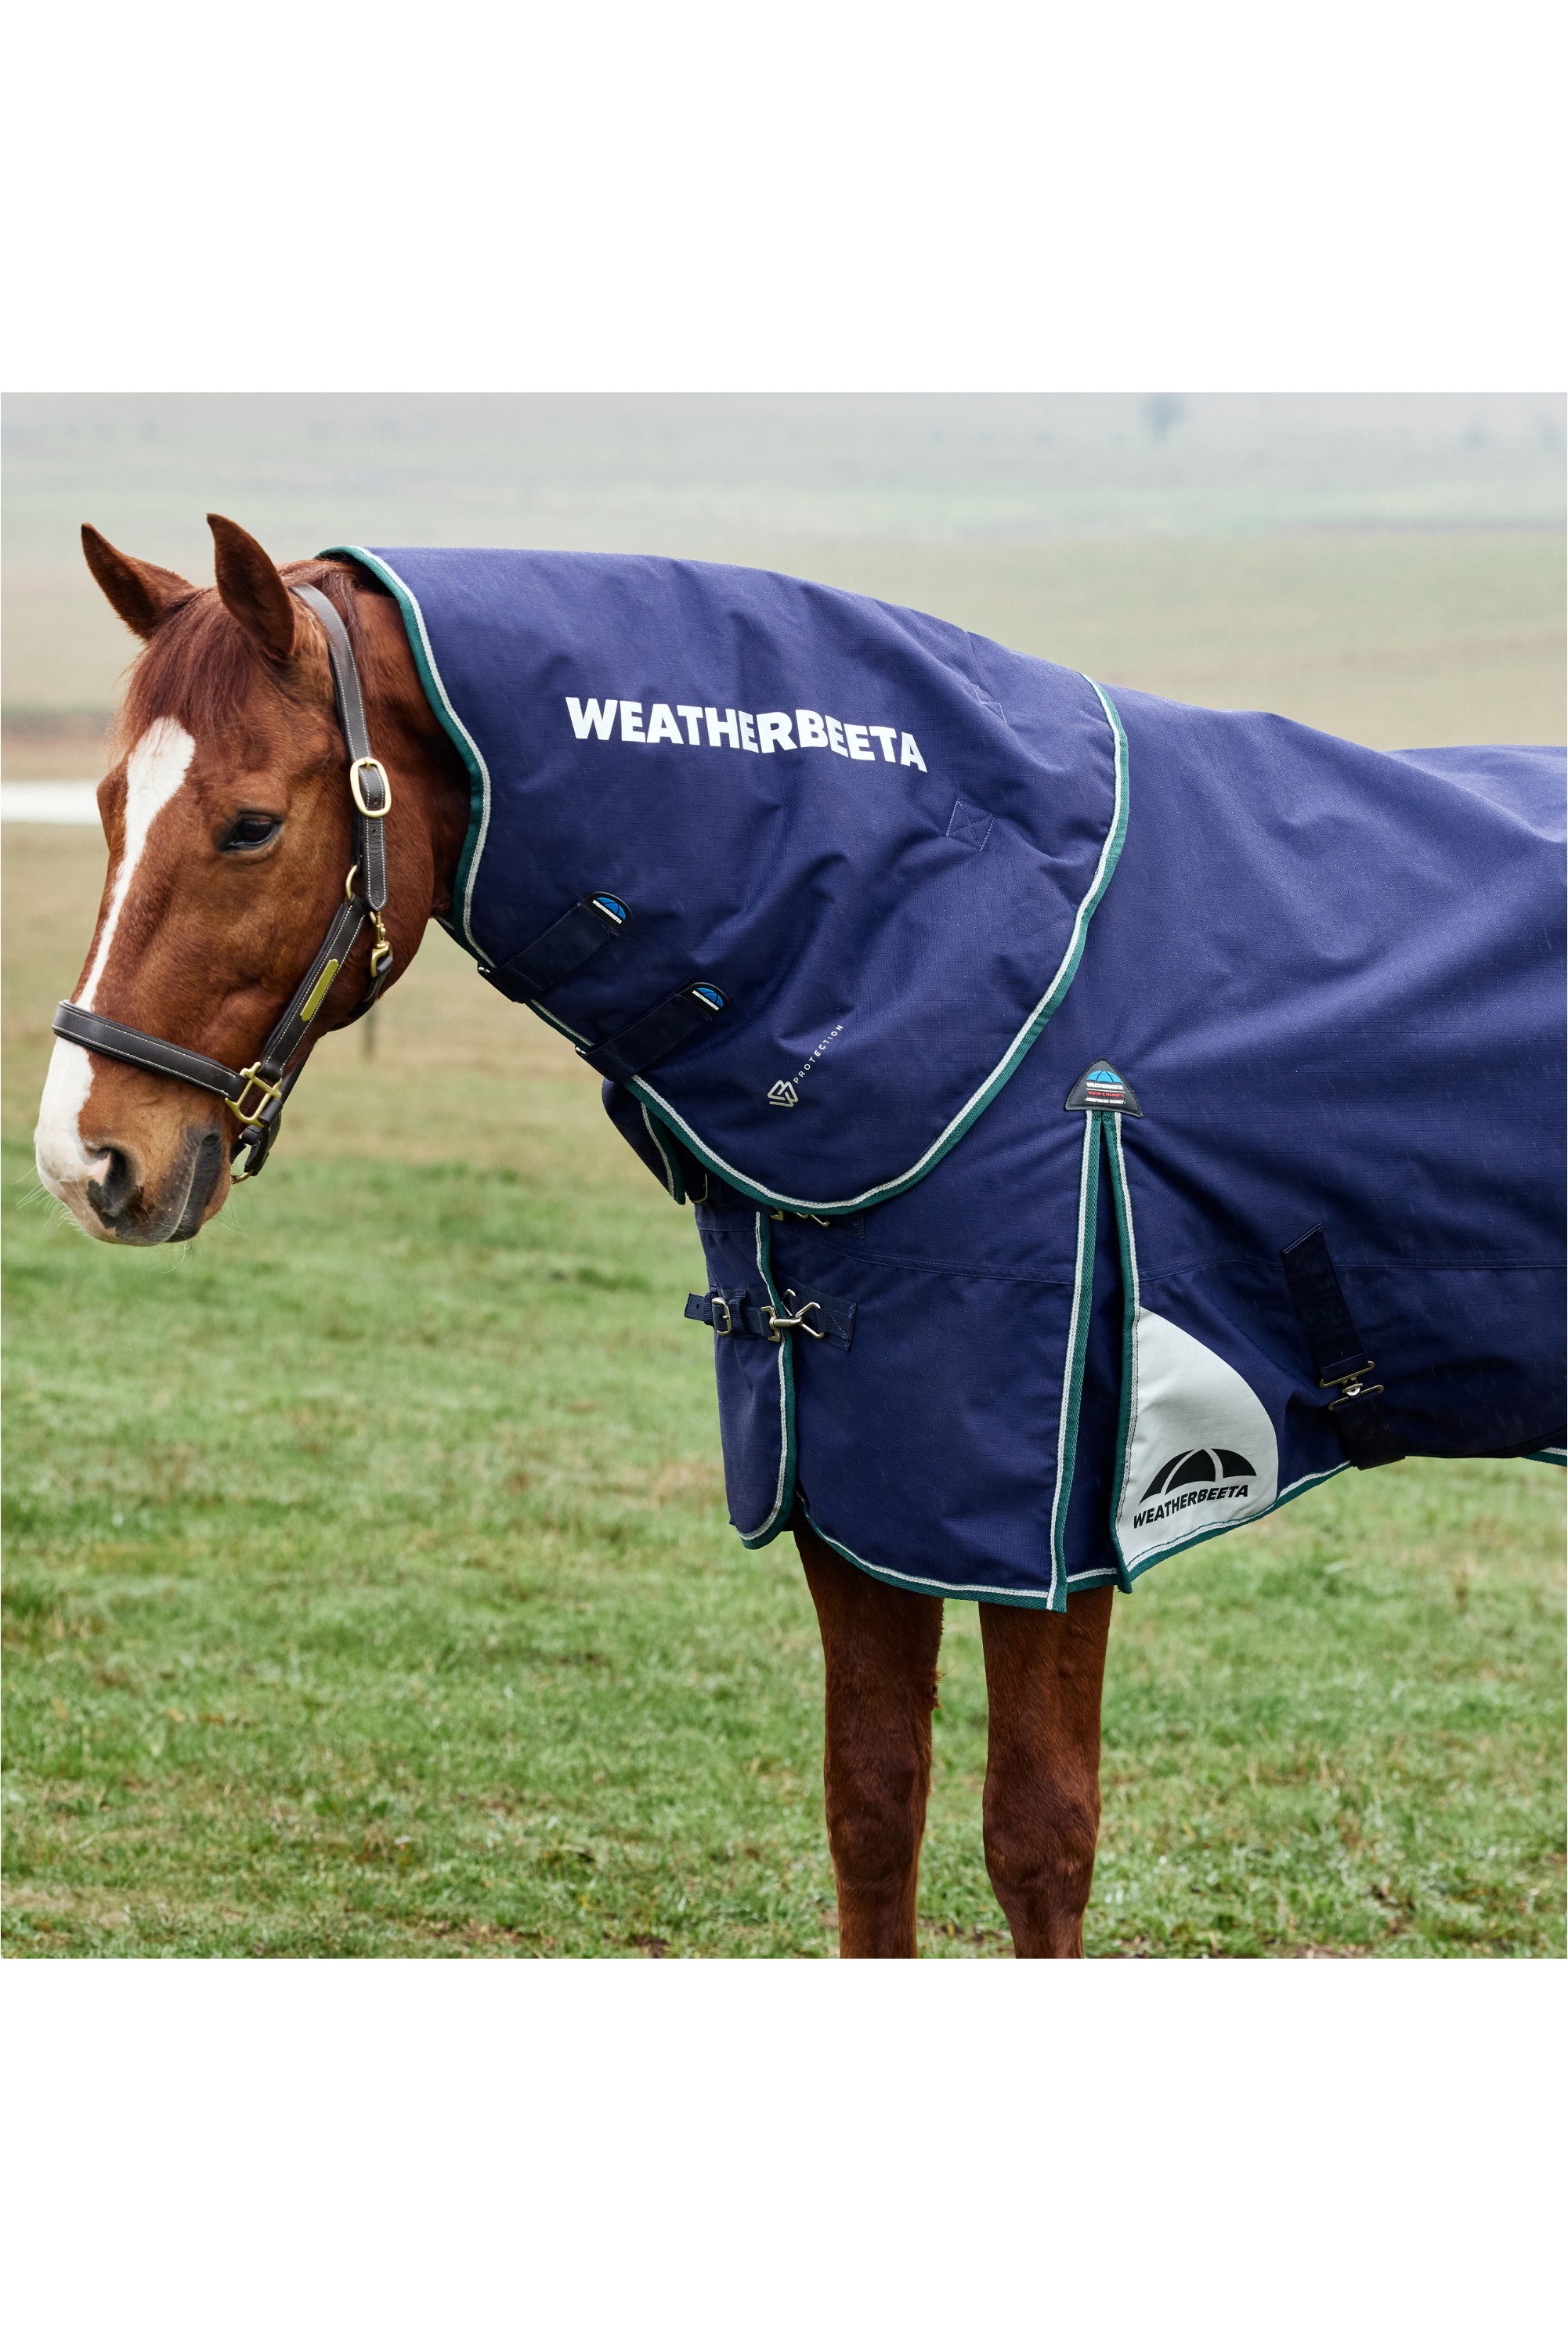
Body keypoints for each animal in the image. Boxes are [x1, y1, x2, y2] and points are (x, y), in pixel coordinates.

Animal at [35, 515, 1564, 1958]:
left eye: (248, 824)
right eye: (106, 802)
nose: (88, 1157)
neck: (929, 938)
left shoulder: (1044, 1510)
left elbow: (1038, 1834)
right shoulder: (845, 1472)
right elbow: (871, 1802)